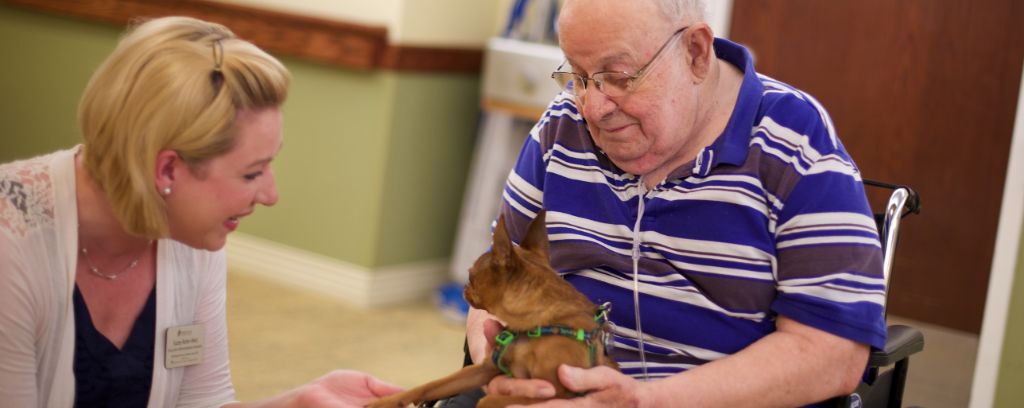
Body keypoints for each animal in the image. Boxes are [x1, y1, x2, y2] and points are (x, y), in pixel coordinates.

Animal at [368, 210, 614, 408]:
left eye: (470, 275)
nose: (464, 288)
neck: (539, 325)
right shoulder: (484, 368)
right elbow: (432, 385)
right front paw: (385, 402)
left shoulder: (559, 393)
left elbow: (488, 400)